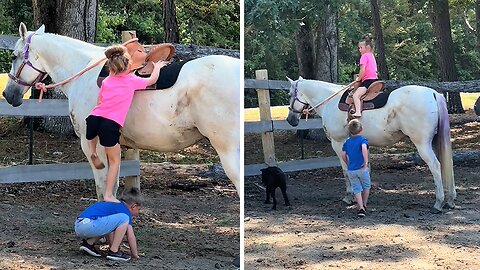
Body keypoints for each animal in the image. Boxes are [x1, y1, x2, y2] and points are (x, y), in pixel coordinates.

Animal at [4, 23, 240, 198]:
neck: (85, 70)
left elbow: (103, 189)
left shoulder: (94, 145)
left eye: (14, 56)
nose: (8, 94)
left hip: (228, 151)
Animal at [286, 77, 456, 212]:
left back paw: (438, 203)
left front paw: (349, 197)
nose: (290, 120)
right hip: (435, 142)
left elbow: (346, 170)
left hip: (422, 144)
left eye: (289, 94)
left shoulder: (338, 143)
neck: (330, 101)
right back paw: (450, 200)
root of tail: (433, 94)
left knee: (435, 166)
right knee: (447, 163)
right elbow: (365, 169)